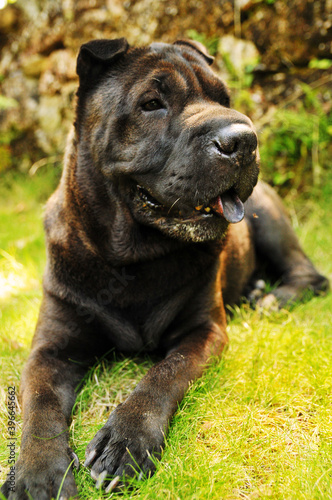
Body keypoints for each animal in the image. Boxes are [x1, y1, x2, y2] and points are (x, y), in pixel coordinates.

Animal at [1, 39, 328, 500]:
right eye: (152, 104)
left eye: (224, 99)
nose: (244, 140)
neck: (133, 260)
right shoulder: (52, 345)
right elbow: (39, 401)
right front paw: (38, 474)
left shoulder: (204, 331)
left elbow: (163, 374)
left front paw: (125, 443)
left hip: (268, 216)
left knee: (310, 274)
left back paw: (270, 299)